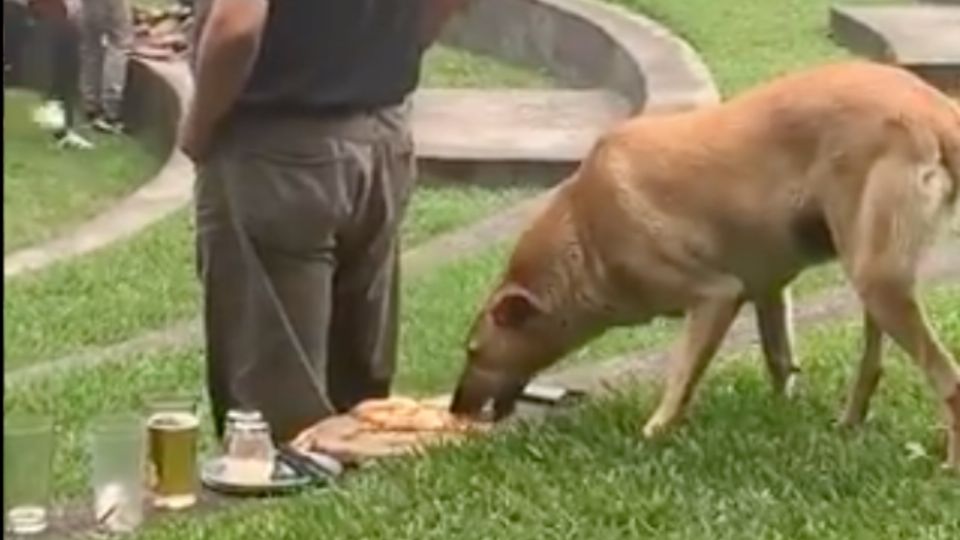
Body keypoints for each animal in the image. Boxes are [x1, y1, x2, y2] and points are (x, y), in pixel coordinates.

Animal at [450, 60, 960, 468]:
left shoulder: (715, 295)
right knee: (873, 366)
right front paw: (782, 415)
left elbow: (681, 378)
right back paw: (848, 423)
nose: (455, 409)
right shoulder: (767, 288)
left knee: (948, 379)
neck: (585, 233)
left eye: (474, 352)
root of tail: (934, 107)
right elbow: (779, 361)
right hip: (869, 265)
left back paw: (947, 465)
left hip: (877, 278)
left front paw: (654, 433)